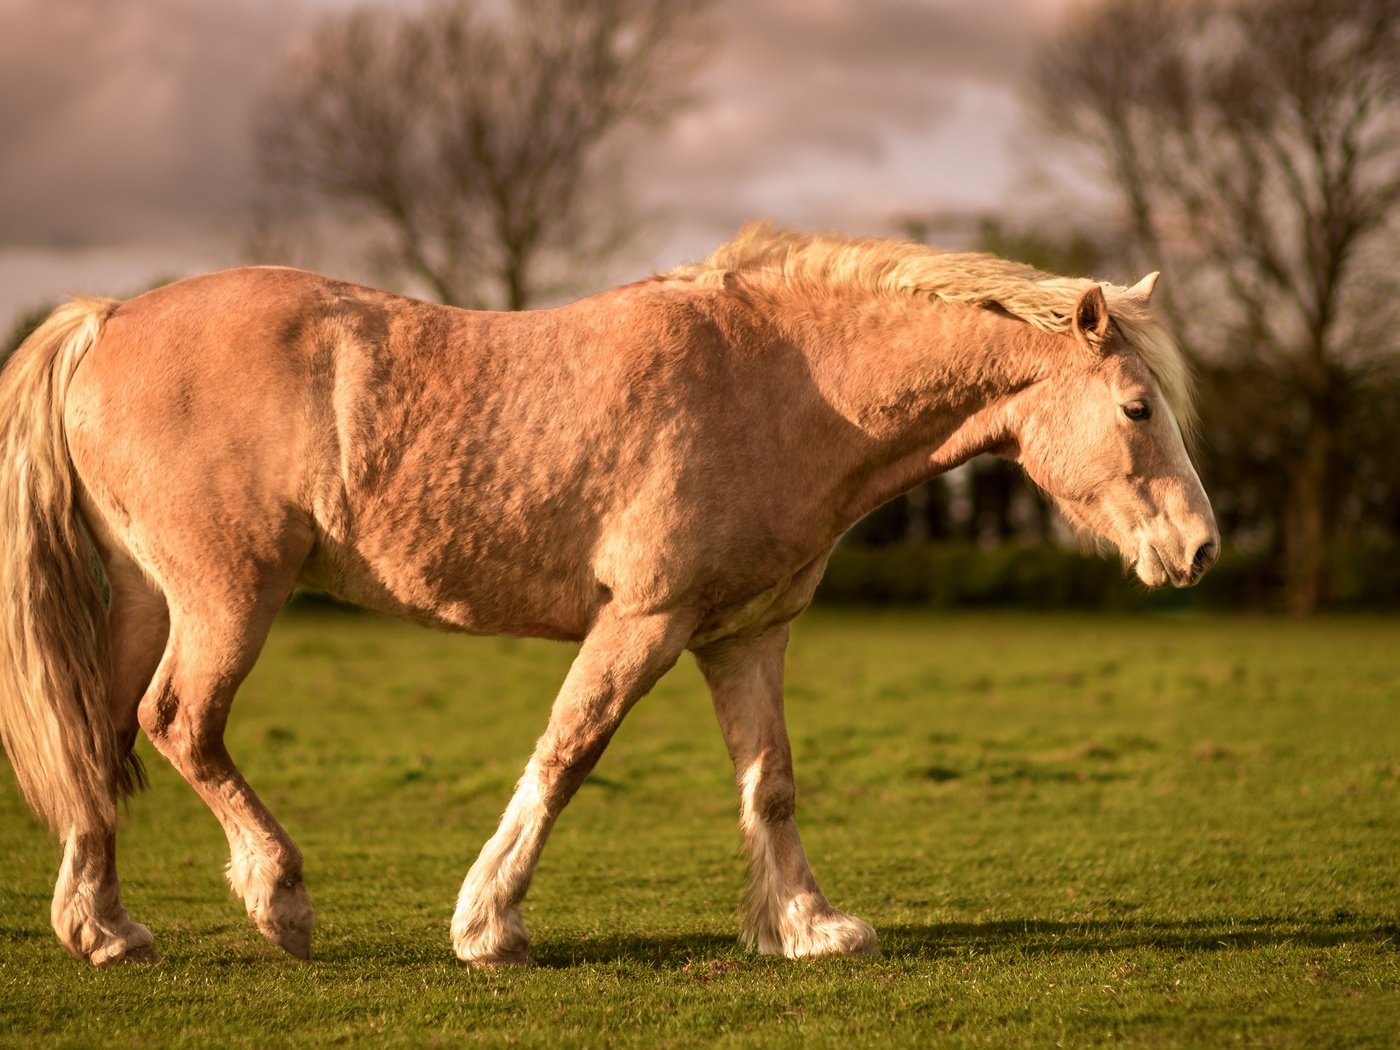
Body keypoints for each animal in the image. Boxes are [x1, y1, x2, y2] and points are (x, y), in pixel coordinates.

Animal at [0, 224, 1215, 968]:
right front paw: (488, 923)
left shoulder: (744, 635)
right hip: (230, 597)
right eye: (1137, 407)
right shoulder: (643, 621)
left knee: (101, 734)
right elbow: (567, 750)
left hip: (154, 599)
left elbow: (770, 785)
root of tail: (110, 319)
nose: (1199, 550)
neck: (781, 380)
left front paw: (809, 926)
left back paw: (103, 929)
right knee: (177, 722)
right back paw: (279, 899)